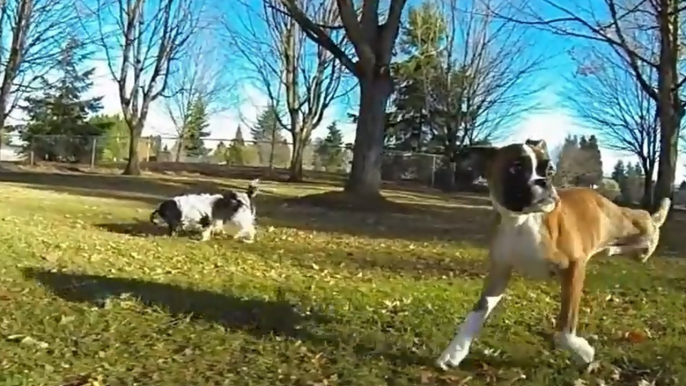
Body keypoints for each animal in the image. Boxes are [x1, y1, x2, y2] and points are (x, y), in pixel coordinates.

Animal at [440, 140, 672, 370]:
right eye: (516, 167)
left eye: (550, 170)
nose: (544, 181)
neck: (522, 222)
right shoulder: (499, 274)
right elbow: (476, 313)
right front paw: (454, 351)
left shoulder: (573, 269)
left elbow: (564, 327)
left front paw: (582, 351)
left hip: (620, 221)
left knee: (640, 219)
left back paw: (652, 229)